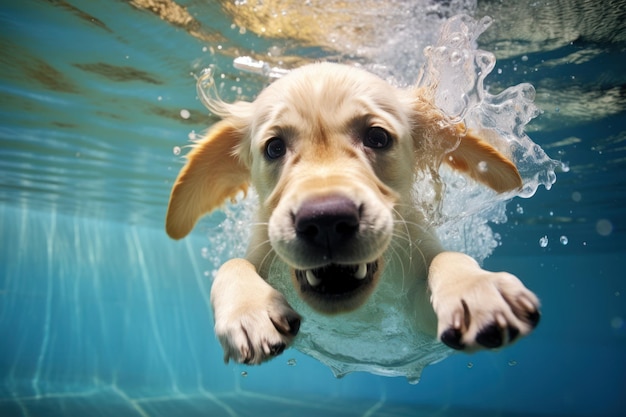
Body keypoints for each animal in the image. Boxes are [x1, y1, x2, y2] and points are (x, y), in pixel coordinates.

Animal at [165, 61, 536, 364]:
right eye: (274, 147)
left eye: (377, 137)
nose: (325, 220)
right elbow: (233, 263)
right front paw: (248, 311)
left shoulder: (417, 324)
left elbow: (447, 258)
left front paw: (475, 289)